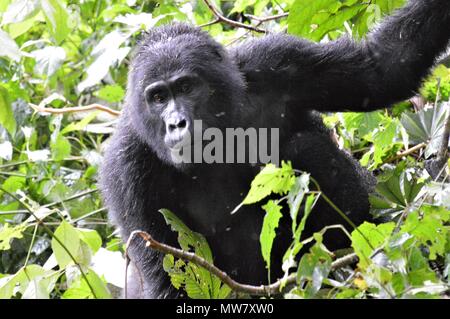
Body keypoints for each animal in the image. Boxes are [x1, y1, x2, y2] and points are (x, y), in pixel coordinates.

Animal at [100, 0, 450, 300]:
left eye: (186, 87)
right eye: (158, 98)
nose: (176, 123)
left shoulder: (277, 62)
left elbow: (380, 70)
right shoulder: (126, 168)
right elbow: (169, 277)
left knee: (305, 150)